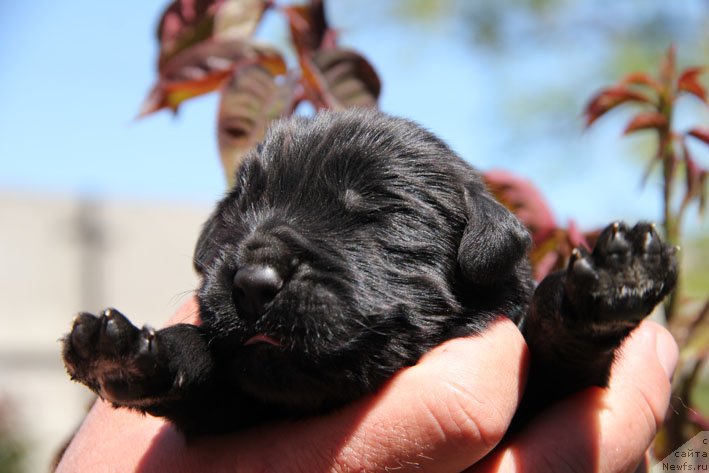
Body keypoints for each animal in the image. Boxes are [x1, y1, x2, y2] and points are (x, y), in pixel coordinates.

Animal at [63, 109, 676, 434]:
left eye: (371, 215)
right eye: (239, 214)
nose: (252, 283)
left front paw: (612, 280)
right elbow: (202, 365)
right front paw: (128, 352)